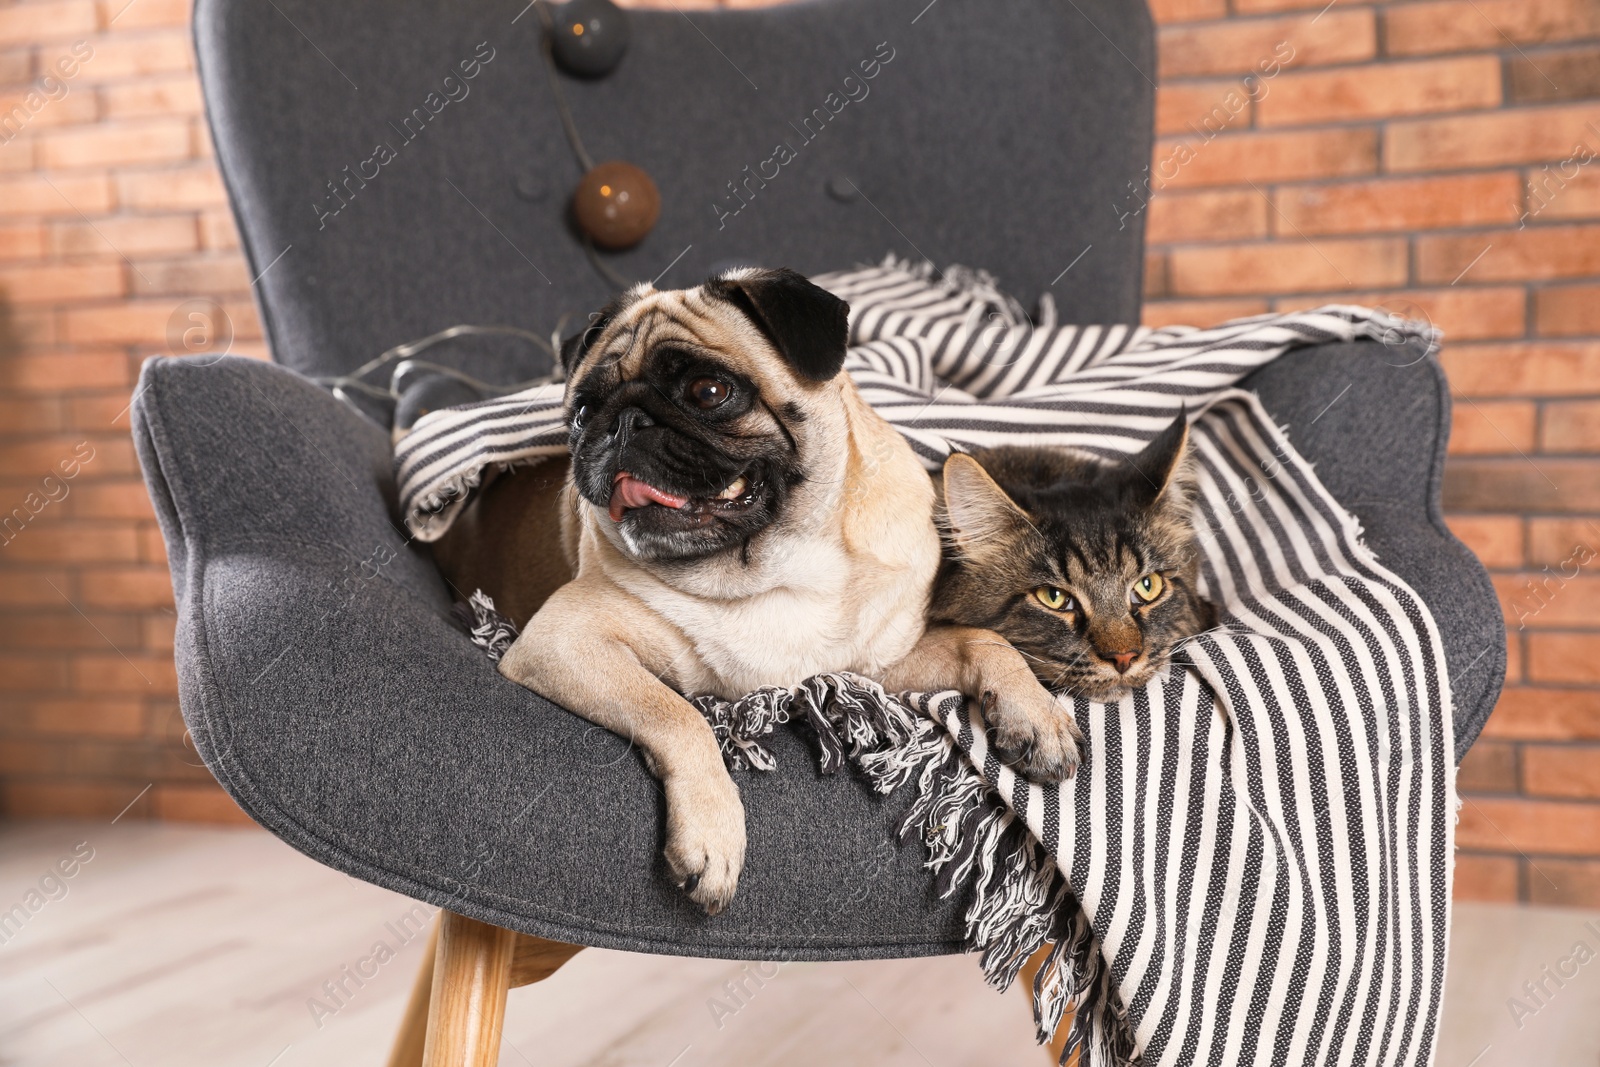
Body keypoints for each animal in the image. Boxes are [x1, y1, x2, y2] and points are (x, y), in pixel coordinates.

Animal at [432, 271, 1081, 915]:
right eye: (583, 411)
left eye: (710, 391)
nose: (621, 423)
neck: (775, 567)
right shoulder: (563, 640)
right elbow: (675, 714)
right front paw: (713, 834)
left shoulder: (875, 668)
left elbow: (982, 642)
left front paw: (1035, 715)